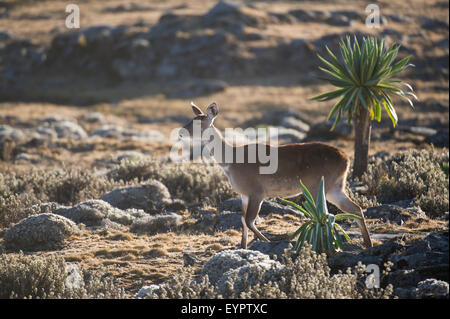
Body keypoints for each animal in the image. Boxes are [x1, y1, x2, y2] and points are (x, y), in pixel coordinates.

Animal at [179, 102, 372, 250]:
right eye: (190, 119)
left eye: (199, 122)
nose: (180, 132)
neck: (230, 162)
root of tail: (346, 159)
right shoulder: (243, 194)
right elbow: (242, 220)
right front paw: (243, 247)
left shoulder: (257, 191)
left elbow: (250, 220)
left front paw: (268, 242)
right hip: (335, 187)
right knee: (355, 208)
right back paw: (367, 244)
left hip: (318, 186)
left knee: (326, 214)